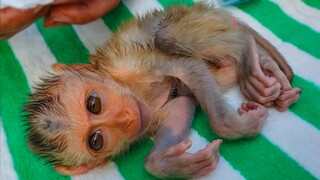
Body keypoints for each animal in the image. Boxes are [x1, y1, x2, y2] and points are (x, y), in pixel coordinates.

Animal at [23, 3, 302, 179]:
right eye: (96, 141)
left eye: (93, 103)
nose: (125, 118)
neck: (133, 92)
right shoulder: (150, 114)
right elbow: (181, 106)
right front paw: (168, 163)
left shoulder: (129, 65)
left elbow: (185, 67)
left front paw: (233, 125)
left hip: (198, 18)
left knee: (167, 37)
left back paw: (251, 54)